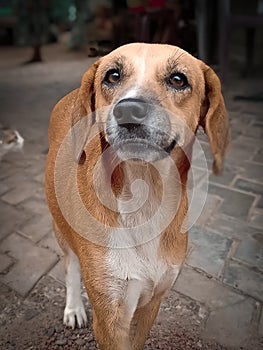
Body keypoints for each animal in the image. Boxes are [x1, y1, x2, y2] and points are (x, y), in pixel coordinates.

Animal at [45, 43, 229, 350]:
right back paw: (74, 308)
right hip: (61, 228)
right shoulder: (110, 316)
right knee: (71, 268)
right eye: (113, 75)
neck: (146, 198)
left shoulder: (151, 304)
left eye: (178, 79)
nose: (128, 110)